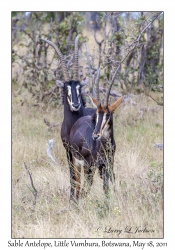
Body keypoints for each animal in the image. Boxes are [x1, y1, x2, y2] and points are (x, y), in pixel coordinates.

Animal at [40, 35, 95, 199]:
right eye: (66, 88)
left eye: (79, 87)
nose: (76, 104)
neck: (72, 126)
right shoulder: (68, 151)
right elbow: (72, 176)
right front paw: (72, 198)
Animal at [69, 70, 122, 199]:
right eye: (97, 114)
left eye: (108, 114)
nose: (96, 135)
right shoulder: (90, 166)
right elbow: (86, 189)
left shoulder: (107, 164)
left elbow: (107, 187)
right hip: (78, 164)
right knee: (79, 186)